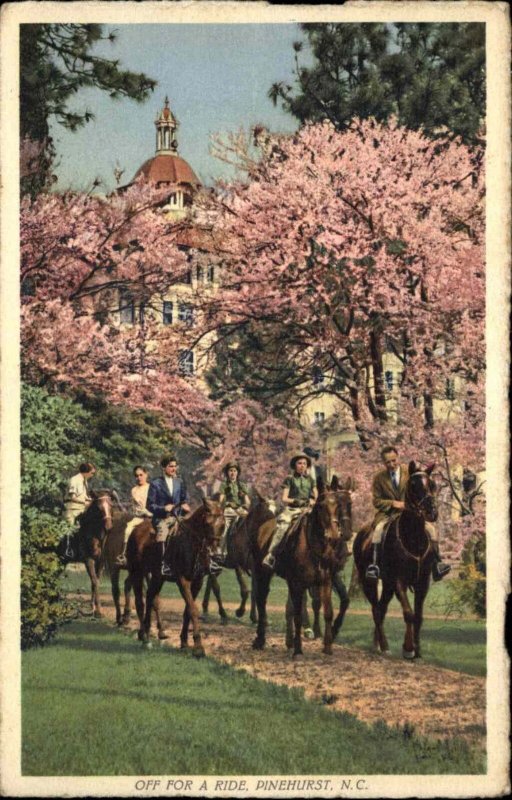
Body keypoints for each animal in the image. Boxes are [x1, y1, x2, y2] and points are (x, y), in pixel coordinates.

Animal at [126, 500, 224, 656]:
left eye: (223, 525)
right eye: (207, 523)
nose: (217, 555)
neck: (192, 545)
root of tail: (135, 530)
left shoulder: (197, 581)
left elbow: (187, 610)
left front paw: (184, 642)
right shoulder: (182, 580)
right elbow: (193, 609)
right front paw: (198, 647)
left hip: (157, 577)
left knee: (150, 598)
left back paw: (147, 633)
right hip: (137, 573)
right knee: (140, 603)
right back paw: (145, 638)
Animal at [251, 476, 352, 656]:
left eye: (347, 504)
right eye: (321, 505)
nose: (337, 534)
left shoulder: (326, 581)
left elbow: (328, 611)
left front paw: (327, 646)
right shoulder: (298, 583)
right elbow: (298, 614)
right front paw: (298, 648)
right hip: (262, 572)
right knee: (262, 600)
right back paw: (261, 639)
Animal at [352, 460, 440, 660]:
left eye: (432, 485)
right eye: (414, 485)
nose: (431, 512)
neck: (413, 538)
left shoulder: (422, 582)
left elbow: (418, 616)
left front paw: (417, 651)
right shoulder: (399, 580)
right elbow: (408, 614)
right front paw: (408, 648)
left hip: (387, 585)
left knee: (382, 608)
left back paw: (377, 644)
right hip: (369, 582)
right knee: (376, 611)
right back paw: (383, 646)